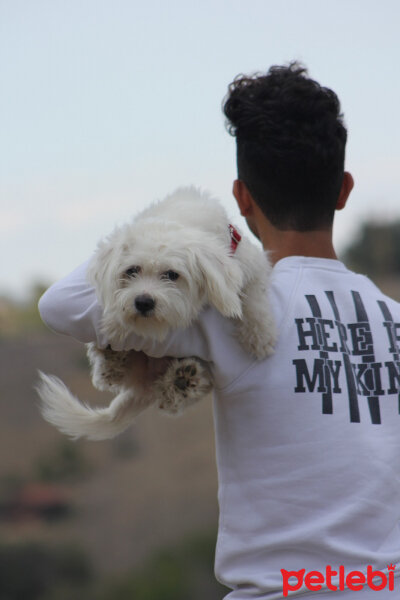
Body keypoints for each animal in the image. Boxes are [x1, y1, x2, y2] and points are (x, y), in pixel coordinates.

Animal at [37, 188, 276, 440]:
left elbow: (253, 294)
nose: (143, 302)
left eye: (172, 275)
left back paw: (181, 380)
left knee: (169, 399)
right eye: (132, 270)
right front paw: (115, 323)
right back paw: (113, 361)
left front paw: (260, 336)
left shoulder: (251, 262)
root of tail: (144, 385)